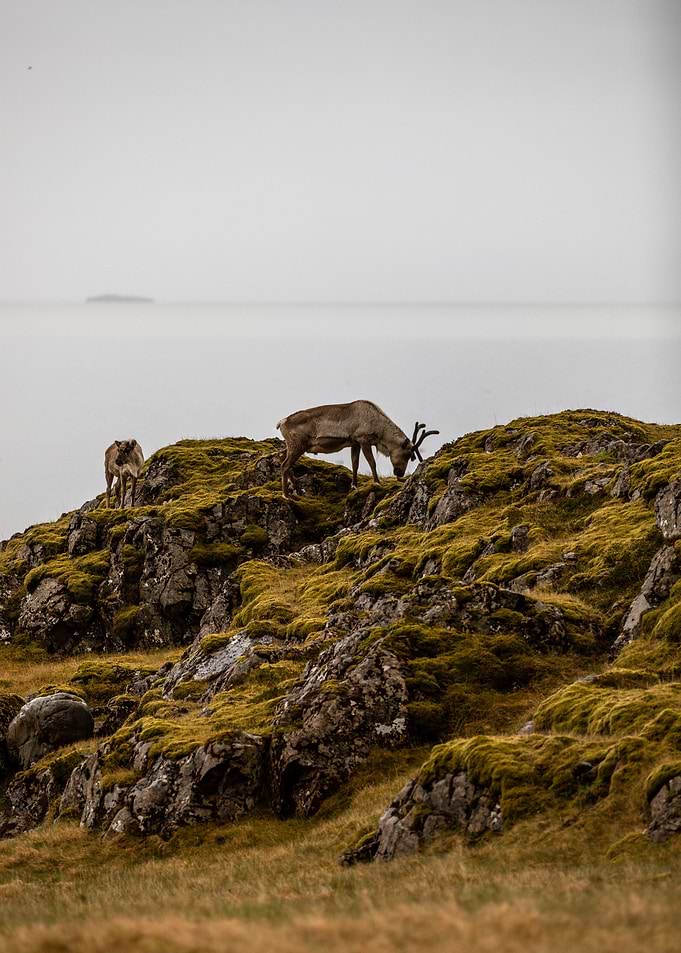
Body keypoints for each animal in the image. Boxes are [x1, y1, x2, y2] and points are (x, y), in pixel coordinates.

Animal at [276, 400, 438, 498]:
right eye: (408, 454)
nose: (400, 473)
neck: (380, 428)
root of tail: (281, 422)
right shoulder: (364, 439)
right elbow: (372, 462)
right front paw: (377, 482)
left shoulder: (354, 443)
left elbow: (355, 464)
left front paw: (354, 486)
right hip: (298, 445)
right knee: (285, 464)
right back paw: (286, 495)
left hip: (294, 446)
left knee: (281, 456)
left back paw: (297, 488)